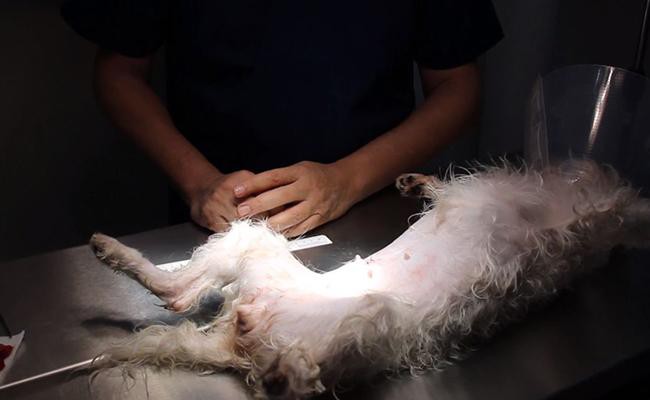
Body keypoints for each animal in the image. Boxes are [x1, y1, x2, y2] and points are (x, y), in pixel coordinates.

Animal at [89, 161, 650, 399]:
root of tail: (241, 342)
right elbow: (442, 189)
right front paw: (416, 182)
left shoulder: (586, 223)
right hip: (256, 244)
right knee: (178, 294)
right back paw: (110, 250)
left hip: (371, 318)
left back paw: (285, 375)